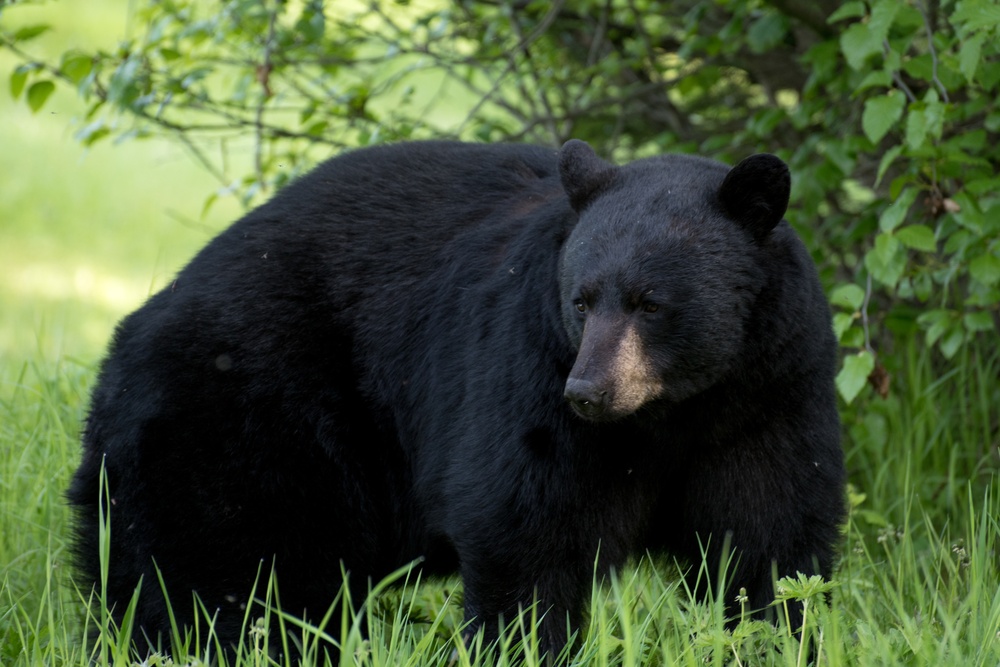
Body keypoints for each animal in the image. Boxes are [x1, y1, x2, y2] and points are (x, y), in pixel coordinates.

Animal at [68, 139, 845, 659]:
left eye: (651, 303)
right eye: (581, 298)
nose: (589, 392)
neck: (674, 412)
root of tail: (124, 338)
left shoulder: (771, 395)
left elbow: (769, 544)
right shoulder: (525, 371)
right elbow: (524, 530)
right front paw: (526, 646)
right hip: (243, 419)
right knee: (219, 574)